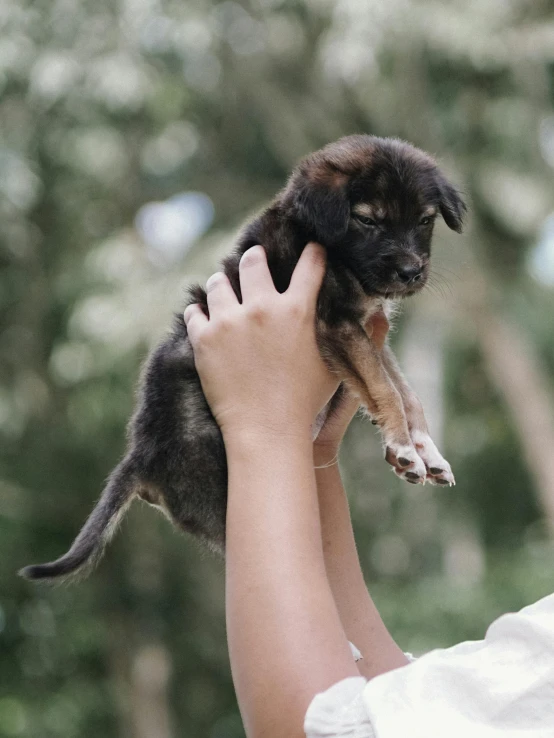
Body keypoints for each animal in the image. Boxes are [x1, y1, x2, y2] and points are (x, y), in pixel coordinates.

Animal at [20, 132, 462, 580]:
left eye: (425, 221)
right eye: (368, 221)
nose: (411, 272)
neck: (324, 243)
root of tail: (139, 457)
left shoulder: (367, 328)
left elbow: (405, 391)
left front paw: (424, 448)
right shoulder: (336, 323)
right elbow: (385, 387)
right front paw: (404, 446)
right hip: (224, 501)